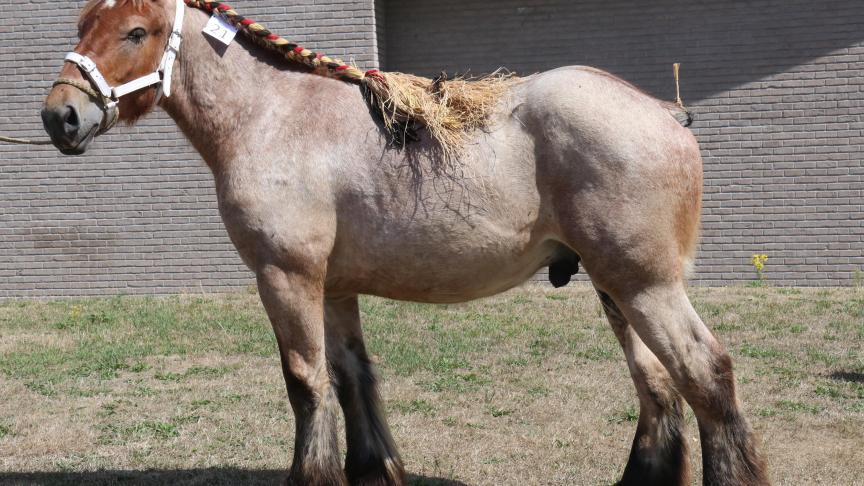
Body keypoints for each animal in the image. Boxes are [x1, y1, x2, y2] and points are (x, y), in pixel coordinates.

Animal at [40, 0, 768, 486]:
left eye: (137, 31)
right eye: (82, 24)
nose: (60, 115)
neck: (275, 118)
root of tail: (664, 111)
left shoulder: (285, 277)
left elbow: (305, 382)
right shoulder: (332, 287)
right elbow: (350, 376)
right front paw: (373, 469)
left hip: (644, 285)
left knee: (705, 374)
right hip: (615, 287)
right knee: (659, 384)